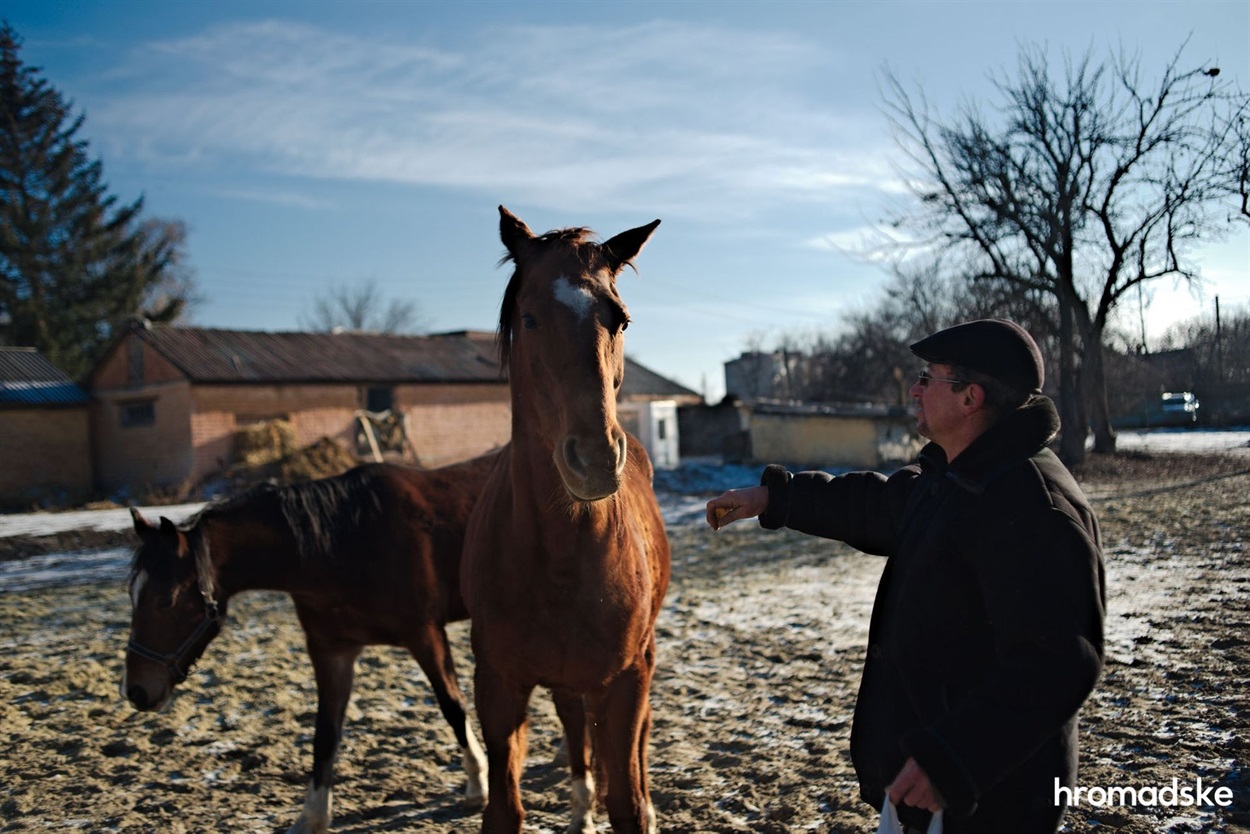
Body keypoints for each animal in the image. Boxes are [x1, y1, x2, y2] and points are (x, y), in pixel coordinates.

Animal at [122, 455, 498, 834]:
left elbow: (452, 706)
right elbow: (325, 734)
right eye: (132, 594)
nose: (136, 691)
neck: (346, 542)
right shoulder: (331, 651)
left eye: (166, 601)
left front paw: (477, 785)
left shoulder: (425, 634)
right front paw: (312, 817)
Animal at [461, 207, 672, 834]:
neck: (556, 555)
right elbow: (504, 808)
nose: (596, 459)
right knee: (576, 728)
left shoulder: (626, 678)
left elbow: (629, 803)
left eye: (619, 319)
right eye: (529, 317)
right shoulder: (497, 682)